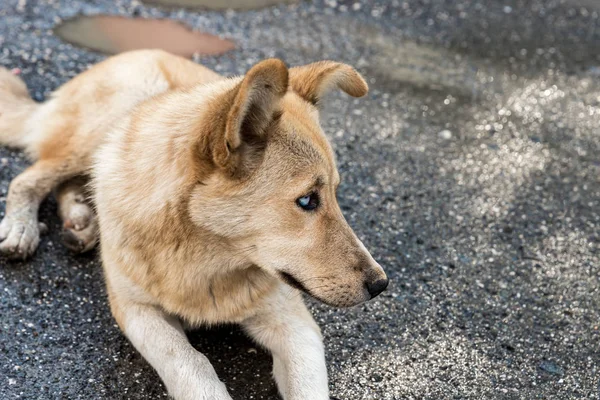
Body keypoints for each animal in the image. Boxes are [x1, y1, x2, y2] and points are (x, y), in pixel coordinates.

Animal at [0, 50, 390, 400]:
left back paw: (80, 217)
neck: (206, 258)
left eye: (336, 193)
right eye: (308, 200)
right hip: (94, 135)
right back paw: (23, 227)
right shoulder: (135, 310)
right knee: (29, 178)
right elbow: (189, 364)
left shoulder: (294, 324)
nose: (380, 285)